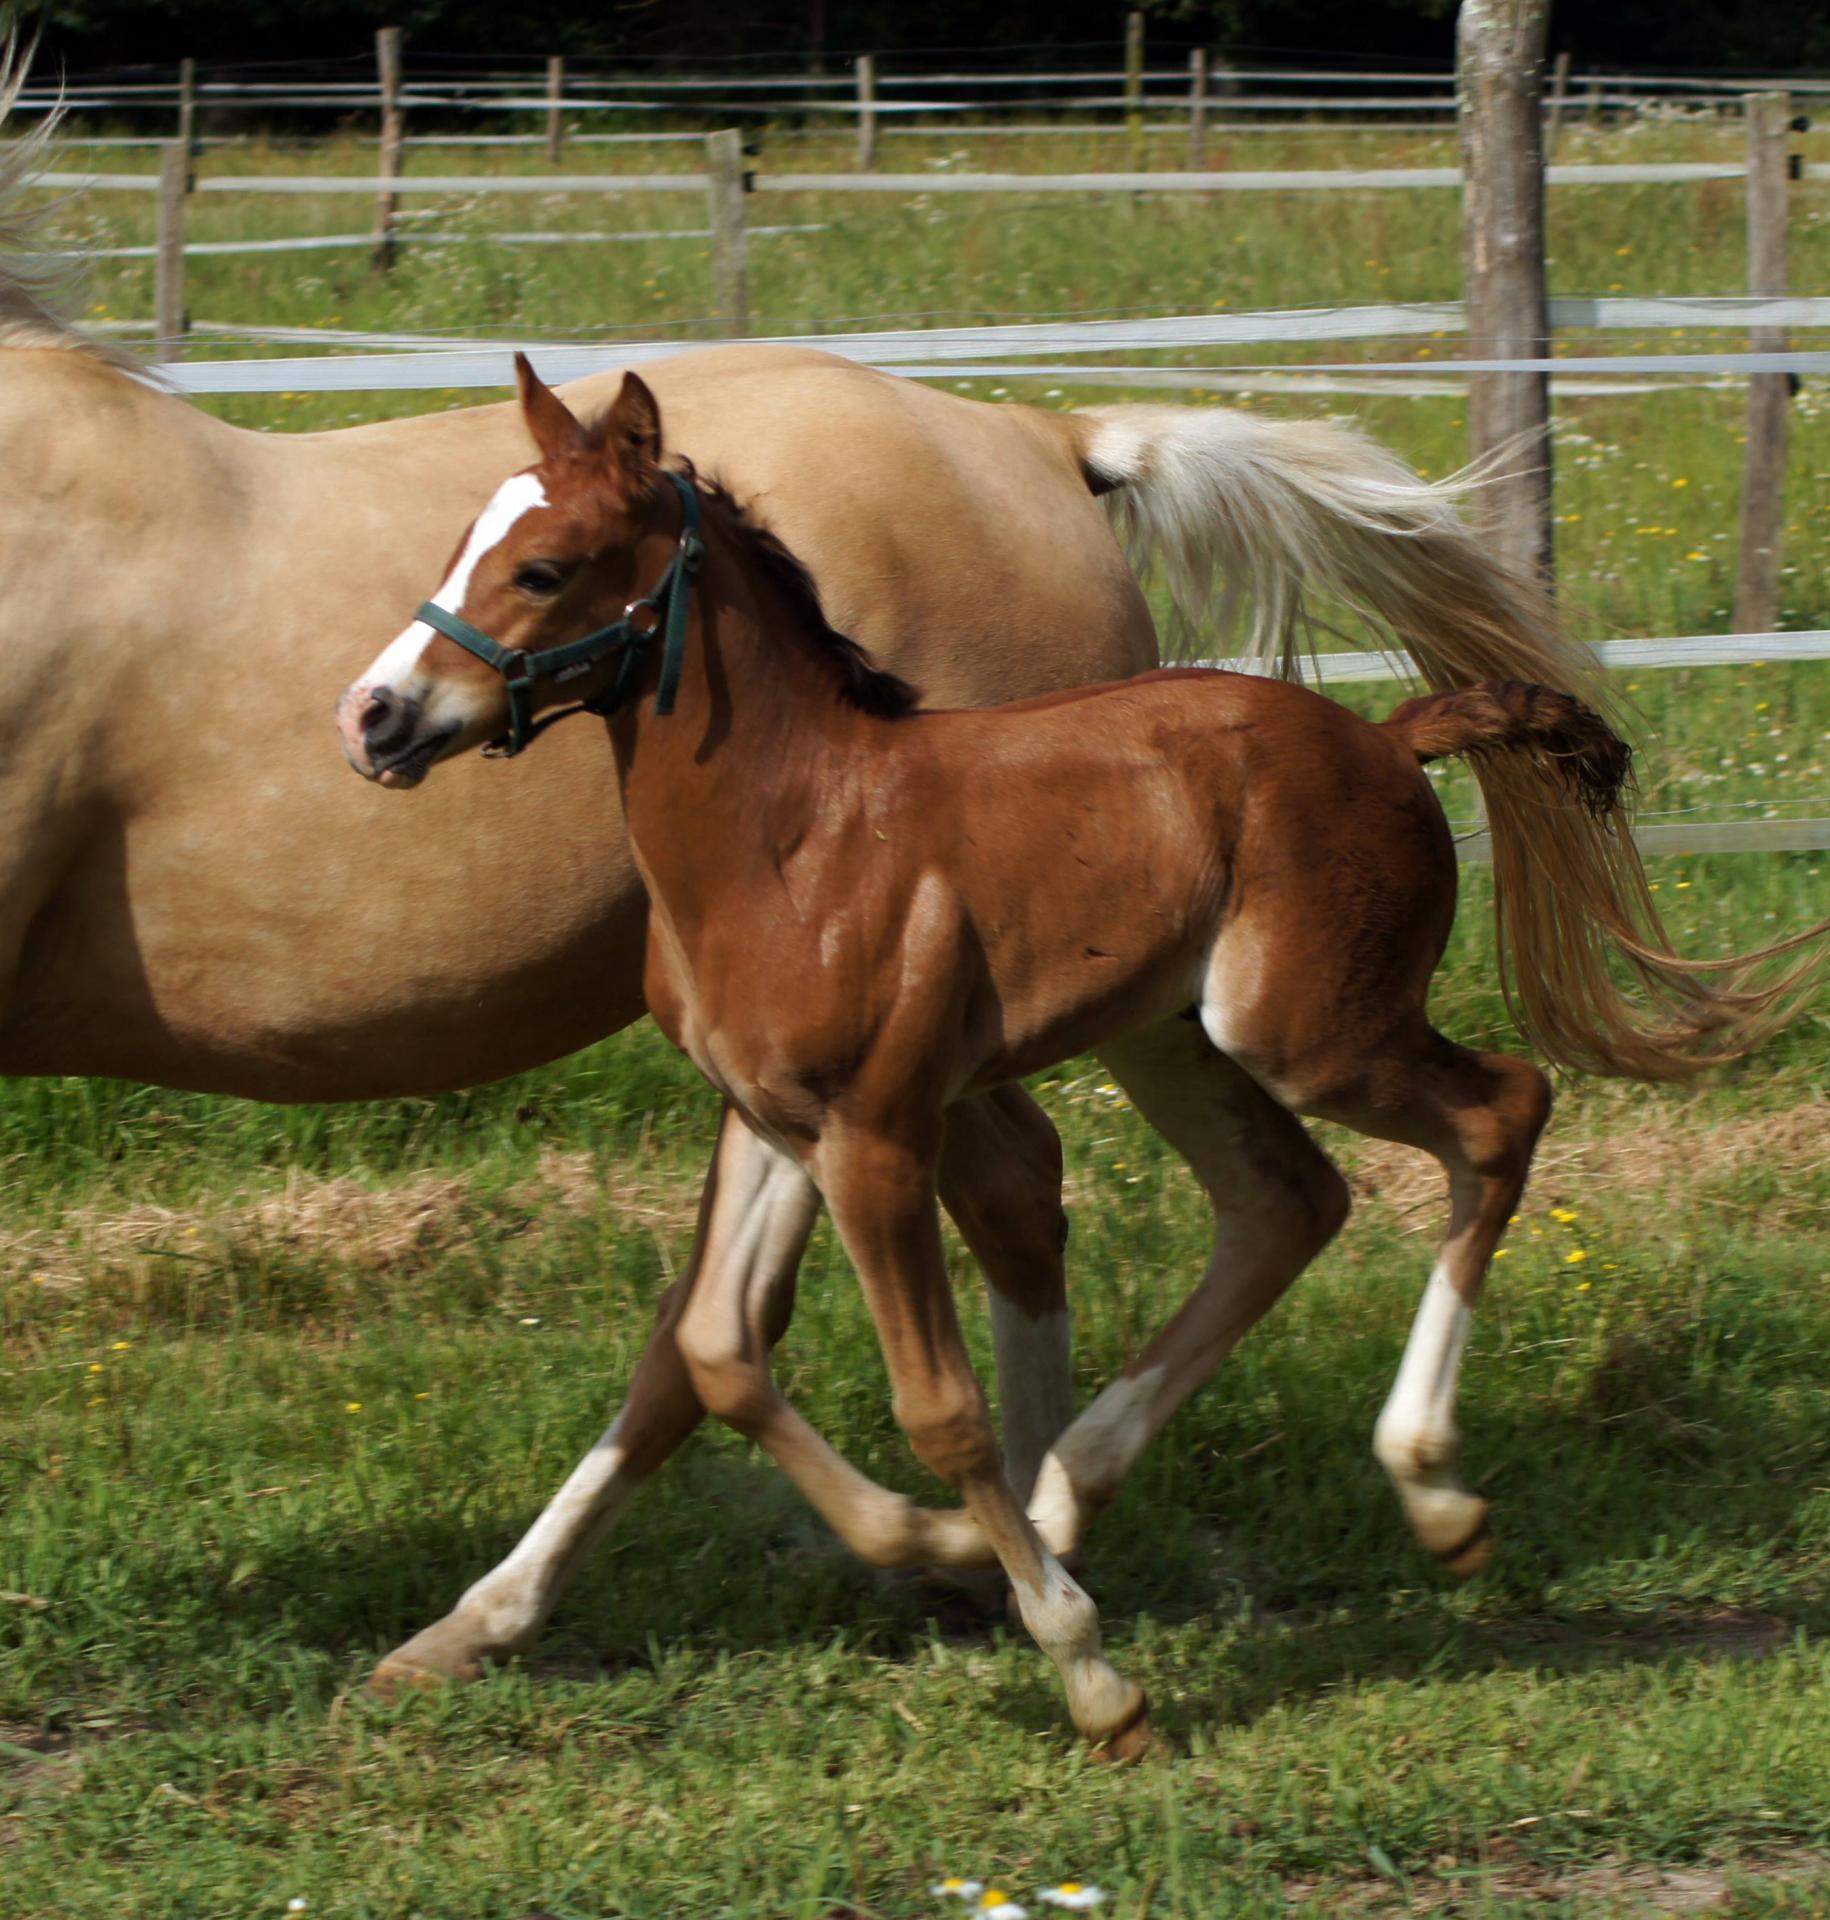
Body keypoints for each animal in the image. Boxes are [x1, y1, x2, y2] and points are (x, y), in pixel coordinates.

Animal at [341, 366, 1828, 1751]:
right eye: (460, 543)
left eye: (543, 566)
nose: (375, 715)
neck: (793, 833)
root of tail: (1385, 736)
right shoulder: (774, 1121)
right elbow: (714, 1352)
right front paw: (954, 1548)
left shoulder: (881, 1133)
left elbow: (938, 1407)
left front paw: (1082, 1665)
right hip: (1170, 1037)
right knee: (1289, 1200)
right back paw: (1073, 1488)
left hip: (1306, 1032)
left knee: (1501, 1111)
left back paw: (1432, 1491)